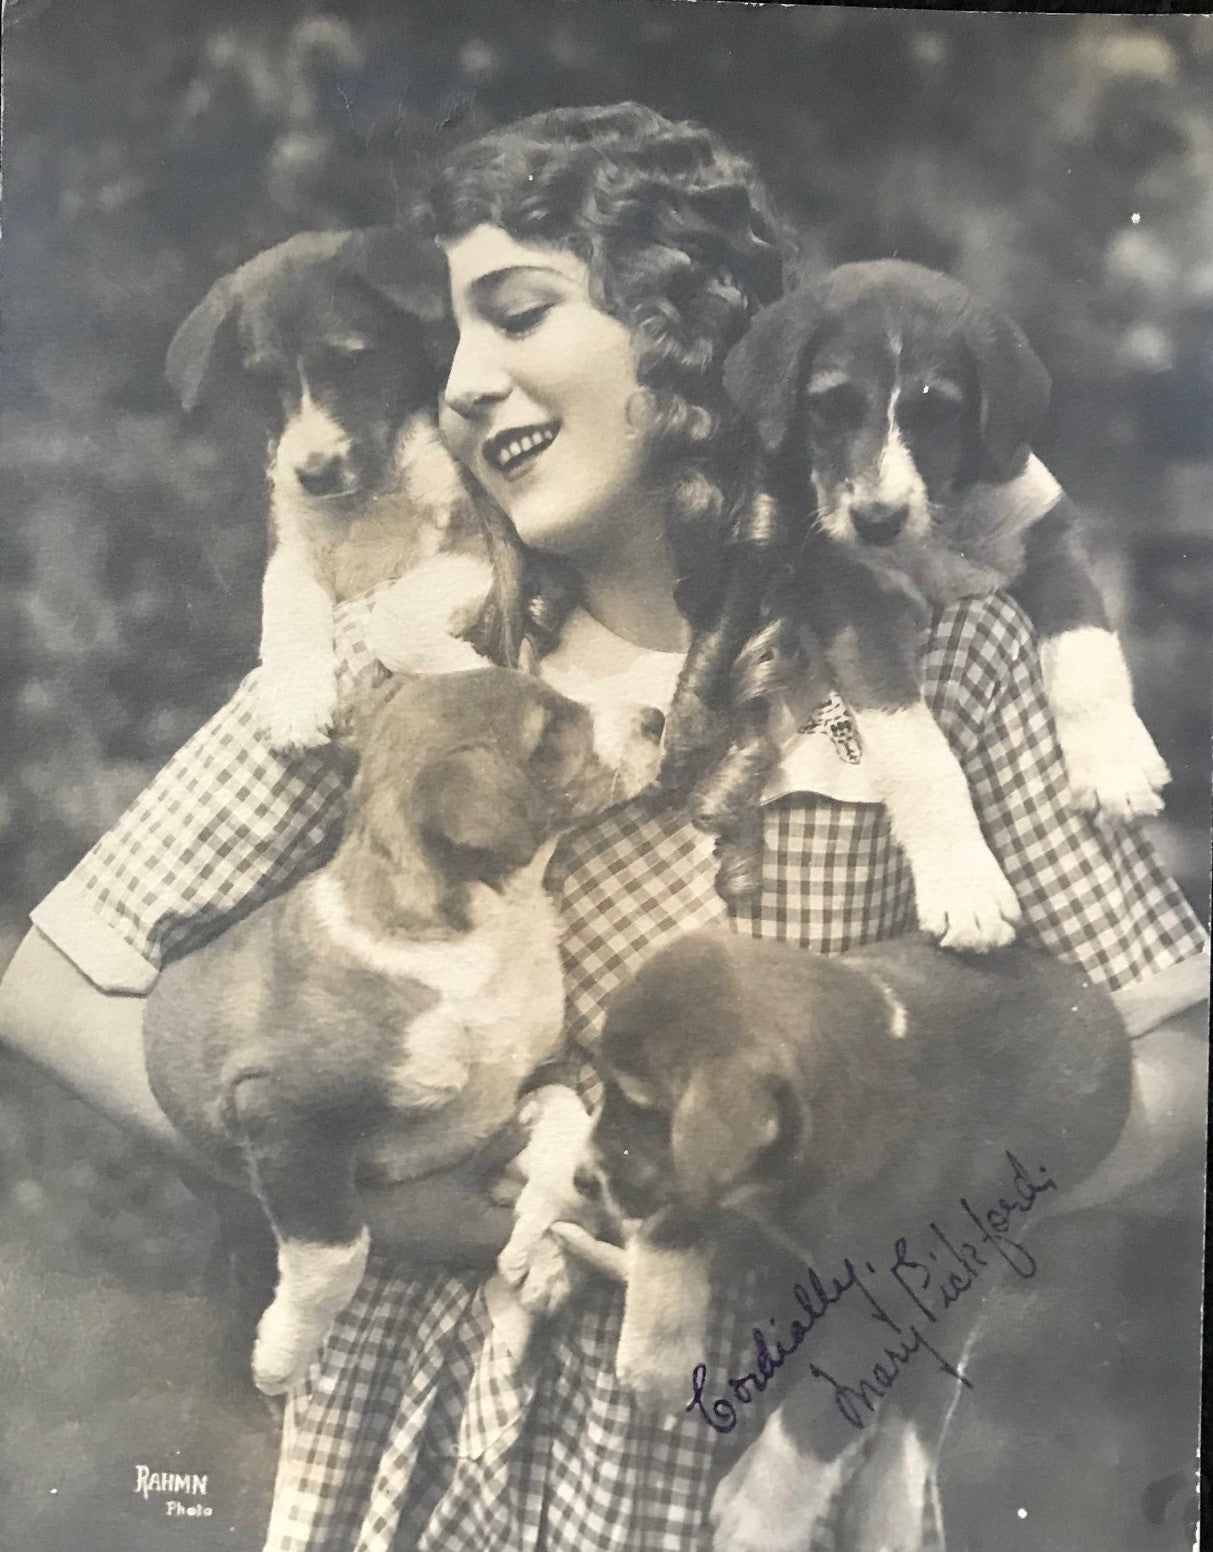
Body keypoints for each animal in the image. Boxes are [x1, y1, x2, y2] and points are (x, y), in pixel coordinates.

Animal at [148, 667, 670, 1396]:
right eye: (552, 732)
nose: (656, 718)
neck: (480, 937)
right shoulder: (287, 1114)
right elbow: (337, 1255)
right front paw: (283, 1356)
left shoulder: (532, 1070)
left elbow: (567, 1117)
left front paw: (546, 1236)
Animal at [167, 226, 490, 754]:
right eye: (265, 382)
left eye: (351, 360)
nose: (316, 475)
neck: (370, 496)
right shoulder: (294, 547)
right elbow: (284, 610)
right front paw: (296, 703)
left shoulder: (477, 537)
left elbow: (393, 616)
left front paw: (465, 671)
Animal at [583, 924, 1135, 1552]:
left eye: (641, 1107)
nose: (583, 1177)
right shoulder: (729, 1186)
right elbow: (681, 1211)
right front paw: (657, 1353)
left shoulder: (886, 1303)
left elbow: (821, 1412)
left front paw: (762, 1516)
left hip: (969, 1289)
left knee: (913, 1420)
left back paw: (883, 1514)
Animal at [725, 260, 1172, 949]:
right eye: (830, 407)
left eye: (935, 413)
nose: (876, 520)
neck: (938, 530)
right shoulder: (859, 614)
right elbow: (921, 755)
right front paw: (966, 889)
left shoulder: (1050, 544)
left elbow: (1086, 653)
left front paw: (1113, 763)